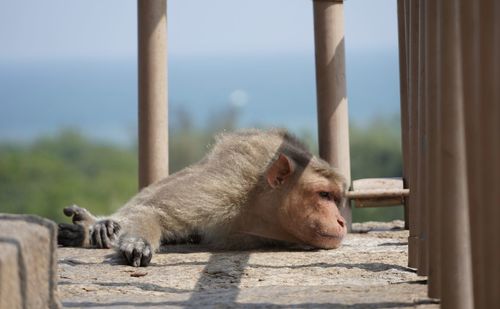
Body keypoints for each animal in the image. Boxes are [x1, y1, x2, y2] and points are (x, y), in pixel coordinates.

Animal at [57, 129, 348, 266]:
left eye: (336, 199)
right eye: (324, 195)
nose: (342, 221)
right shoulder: (228, 185)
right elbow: (152, 210)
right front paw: (137, 242)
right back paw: (95, 228)